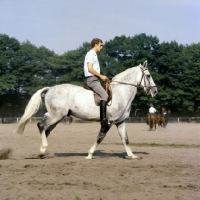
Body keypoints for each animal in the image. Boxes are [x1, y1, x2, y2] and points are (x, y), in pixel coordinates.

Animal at [14, 60, 158, 159]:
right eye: (148, 75)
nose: (155, 91)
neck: (121, 92)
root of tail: (50, 89)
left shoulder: (120, 122)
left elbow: (125, 139)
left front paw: (132, 155)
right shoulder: (108, 122)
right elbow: (100, 137)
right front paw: (89, 154)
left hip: (57, 117)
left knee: (46, 130)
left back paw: (41, 153)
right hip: (56, 116)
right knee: (41, 125)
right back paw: (42, 149)